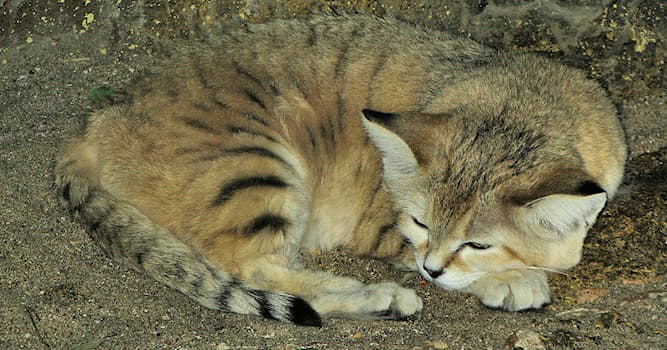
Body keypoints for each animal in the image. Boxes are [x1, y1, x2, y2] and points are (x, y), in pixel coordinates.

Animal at [54, 13, 628, 326]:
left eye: (478, 241)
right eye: (419, 222)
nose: (431, 272)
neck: (520, 103)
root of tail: (98, 120)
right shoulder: (382, 228)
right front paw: (514, 279)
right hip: (255, 166)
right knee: (256, 269)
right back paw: (380, 297)